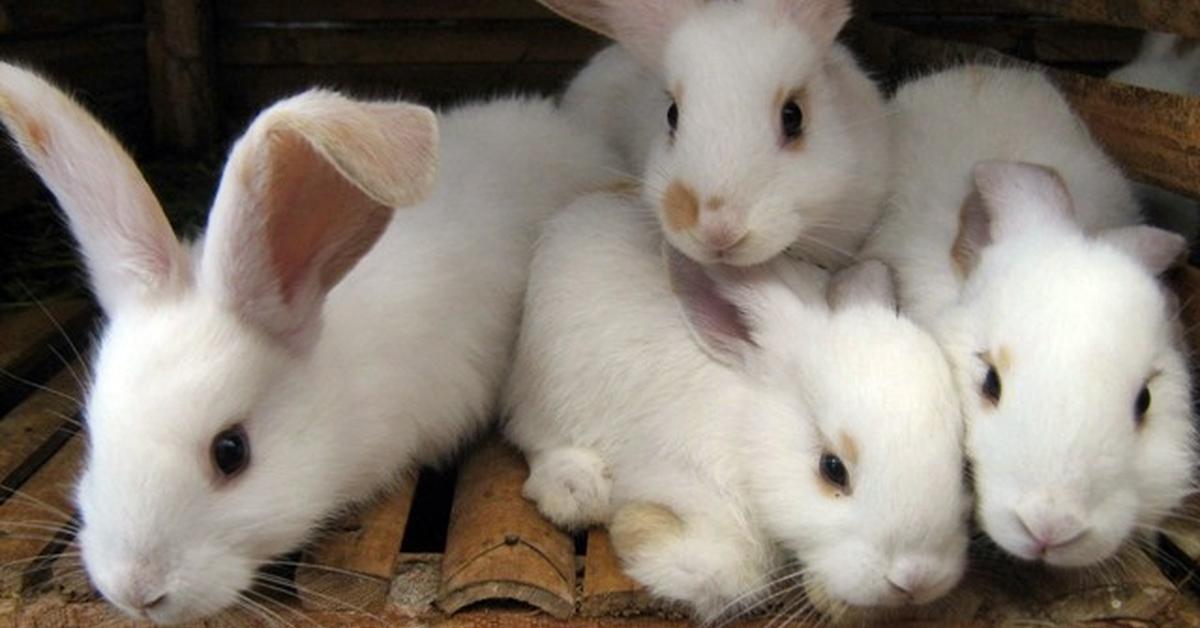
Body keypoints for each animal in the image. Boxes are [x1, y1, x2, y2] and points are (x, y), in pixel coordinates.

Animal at [501, 193, 969, 619]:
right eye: (832, 468)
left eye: (963, 465)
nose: (917, 580)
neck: (745, 432)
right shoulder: (687, 478)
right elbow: (719, 575)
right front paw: (643, 532)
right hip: (552, 394)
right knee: (534, 439)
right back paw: (577, 490)